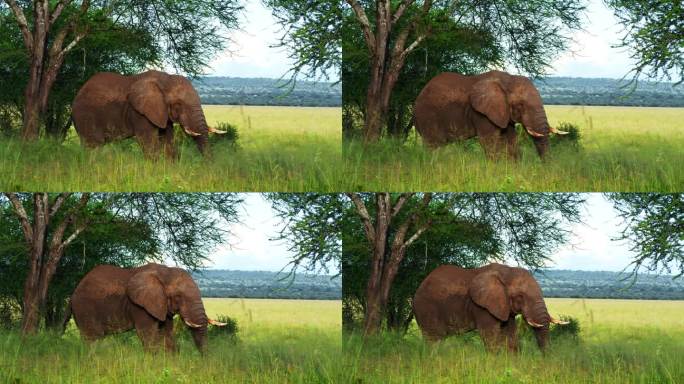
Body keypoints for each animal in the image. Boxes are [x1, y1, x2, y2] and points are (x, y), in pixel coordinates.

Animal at [64, 262, 226, 352]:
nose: (205, 363)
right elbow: (148, 337)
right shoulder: (140, 306)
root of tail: (73, 294)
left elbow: (167, 336)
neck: (165, 271)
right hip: (85, 308)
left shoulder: (161, 306)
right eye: (178, 296)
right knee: (91, 339)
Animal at [73, 70, 226, 158]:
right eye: (178, 104)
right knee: (92, 146)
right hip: (85, 116)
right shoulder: (139, 112)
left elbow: (168, 141)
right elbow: (149, 143)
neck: (165, 79)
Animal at [412, 264, 568, 352]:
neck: (507, 271)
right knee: (433, 340)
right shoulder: (482, 306)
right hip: (426, 308)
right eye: (520, 296)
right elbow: (491, 336)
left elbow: (511, 337)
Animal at [414, 70, 568, 158]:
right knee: (432, 146)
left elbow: (511, 141)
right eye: (520, 105)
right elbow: (490, 142)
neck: (507, 79)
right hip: (427, 117)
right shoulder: (481, 112)